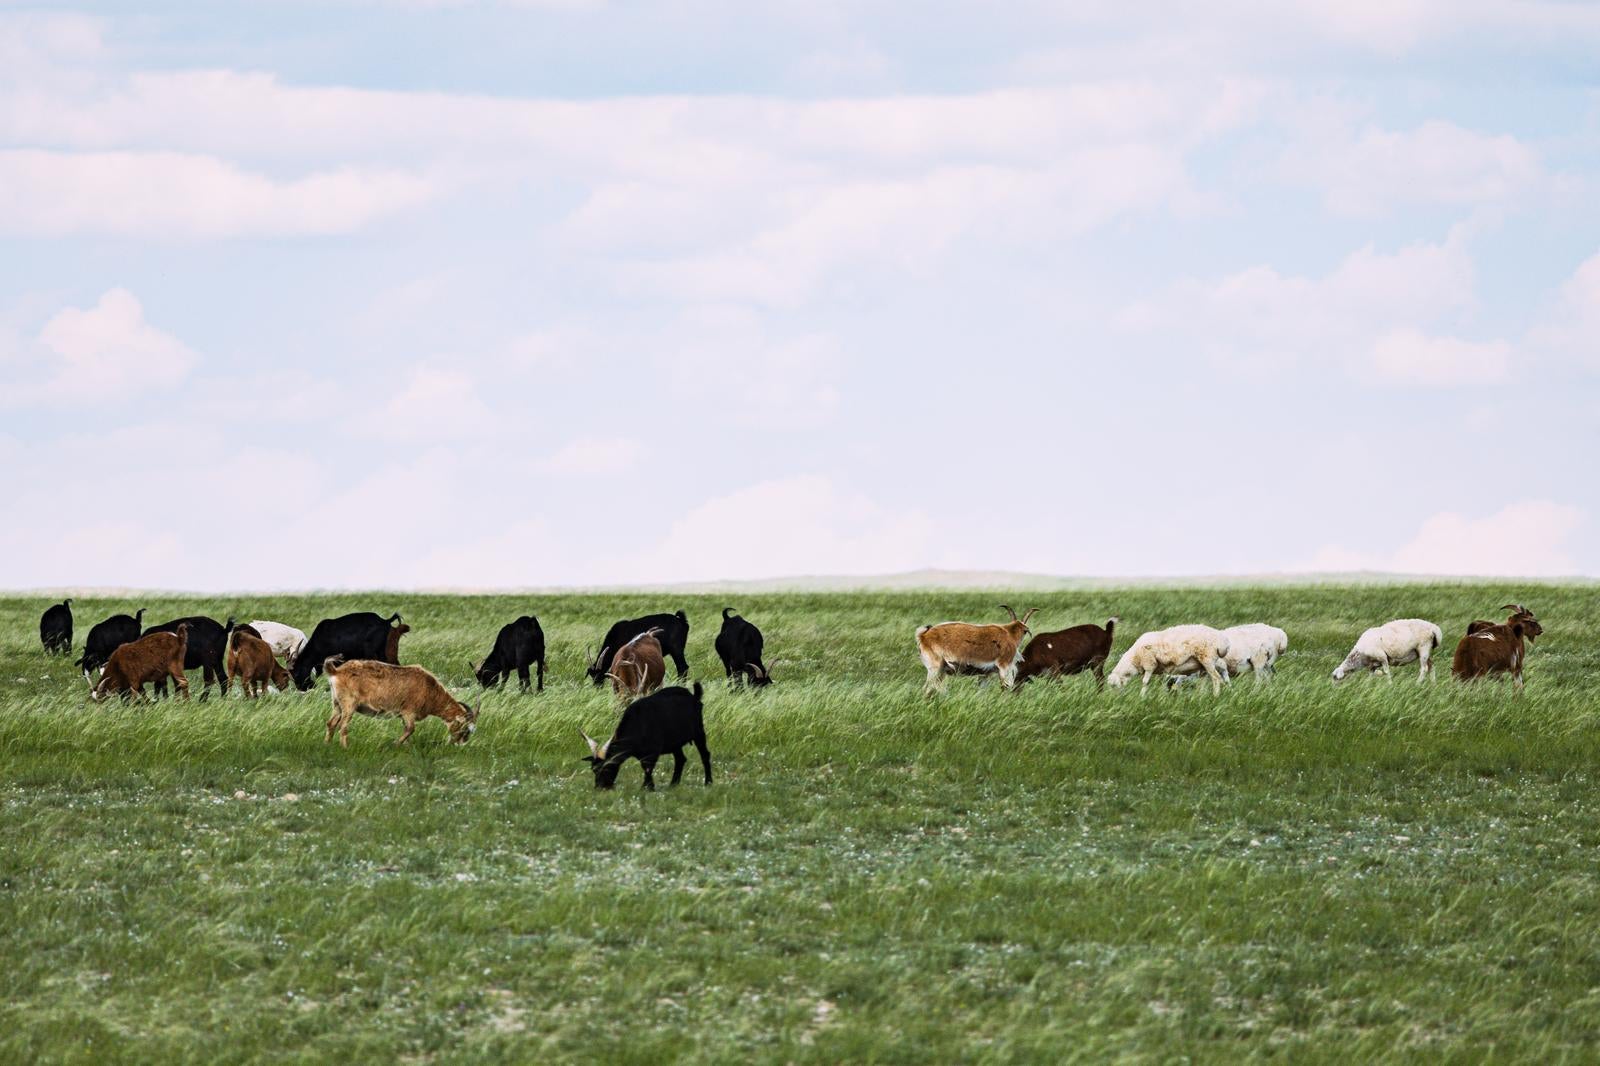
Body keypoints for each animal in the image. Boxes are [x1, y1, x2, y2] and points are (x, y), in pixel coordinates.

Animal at [320, 653, 476, 742]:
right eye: (465, 727)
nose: (461, 742)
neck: (430, 689)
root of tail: (336, 670)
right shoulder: (409, 711)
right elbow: (411, 729)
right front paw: (395, 745)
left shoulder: (404, 716)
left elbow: (407, 730)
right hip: (349, 705)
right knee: (343, 727)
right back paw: (344, 748)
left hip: (337, 704)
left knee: (331, 723)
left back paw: (328, 745)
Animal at [582, 675, 713, 784]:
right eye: (593, 769)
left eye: (607, 767)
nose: (600, 787)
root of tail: (694, 696)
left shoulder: (653, 751)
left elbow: (648, 769)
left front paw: (648, 787)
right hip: (675, 741)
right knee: (680, 759)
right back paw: (673, 784)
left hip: (698, 732)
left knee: (705, 755)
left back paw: (708, 782)